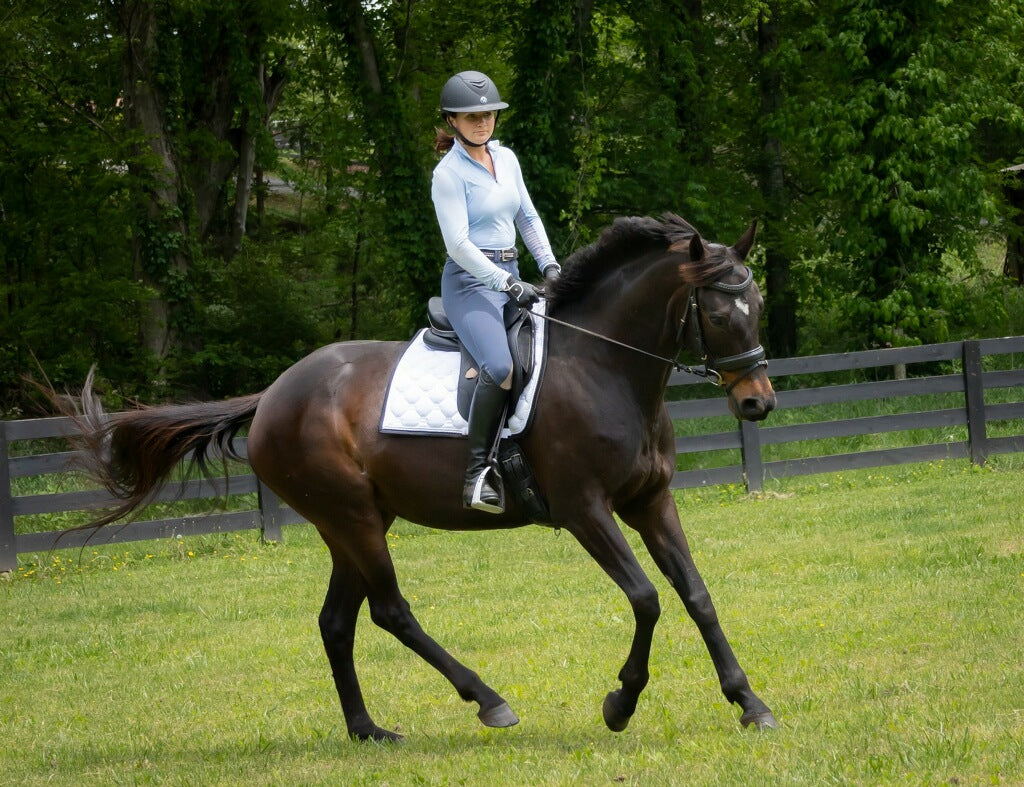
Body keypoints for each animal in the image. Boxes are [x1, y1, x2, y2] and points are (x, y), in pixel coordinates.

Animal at [58, 214, 774, 745]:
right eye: (718, 312)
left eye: (758, 304)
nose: (757, 403)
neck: (603, 368)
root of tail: (273, 395)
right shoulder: (584, 510)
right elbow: (647, 598)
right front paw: (620, 703)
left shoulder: (650, 501)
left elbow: (696, 595)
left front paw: (750, 703)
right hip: (352, 519)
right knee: (390, 611)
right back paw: (487, 700)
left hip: (353, 524)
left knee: (336, 622)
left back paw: (368, 730)